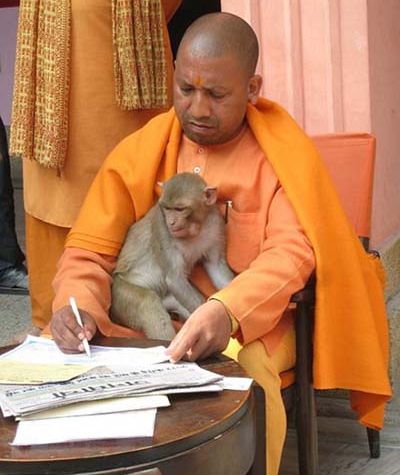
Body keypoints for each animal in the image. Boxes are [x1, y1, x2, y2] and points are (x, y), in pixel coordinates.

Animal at [110, 172, 235, 340]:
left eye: (179, 209)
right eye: (166, 208)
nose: (171, 222)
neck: (195, 229)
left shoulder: (216, 225)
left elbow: (216, 266)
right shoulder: (162, 228)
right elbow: (174, 278)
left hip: (170, 298)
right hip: (120, 296)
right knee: (148, 303)